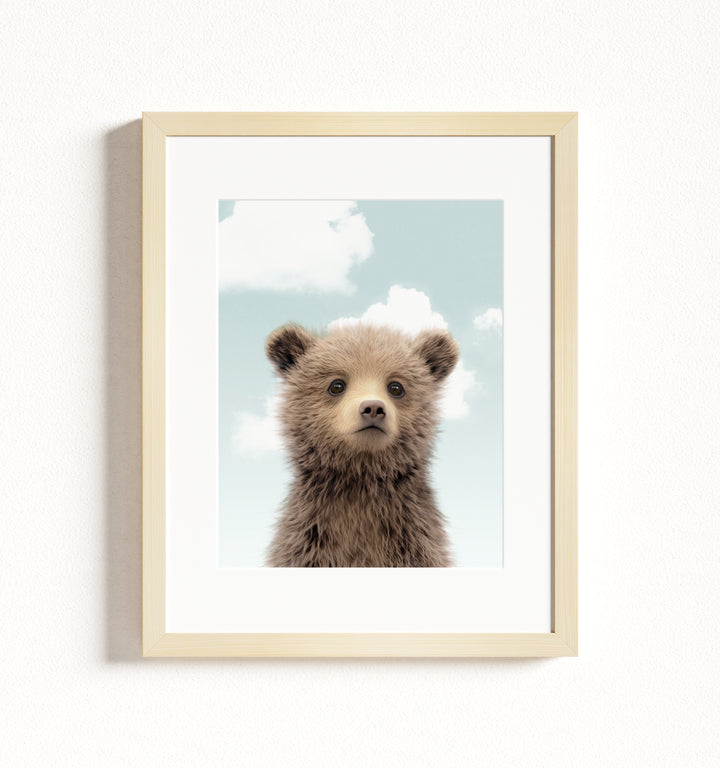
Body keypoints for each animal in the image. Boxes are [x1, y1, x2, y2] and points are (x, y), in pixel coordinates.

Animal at [264, 322, 459, 567]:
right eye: (337, 385)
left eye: (396, 387)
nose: (373, 408)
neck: (360, 479)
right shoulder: (309, 540)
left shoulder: (413, 540)